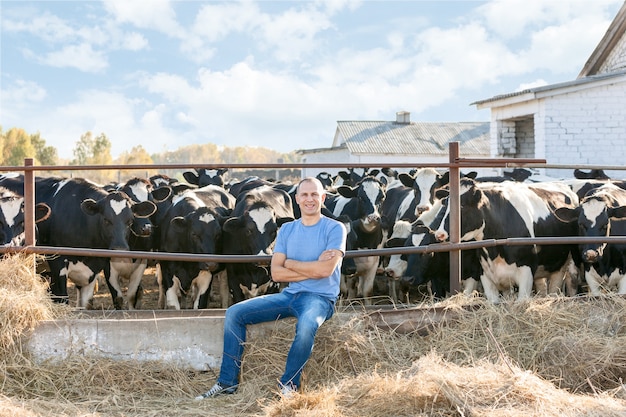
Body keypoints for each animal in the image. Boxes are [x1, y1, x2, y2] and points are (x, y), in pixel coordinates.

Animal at [432, 179, 576, 302]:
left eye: (462, 206)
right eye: (445, 204)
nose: (440, 234)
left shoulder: (526, 271)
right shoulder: (484, 274)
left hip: (561, 266)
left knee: (555, 288)